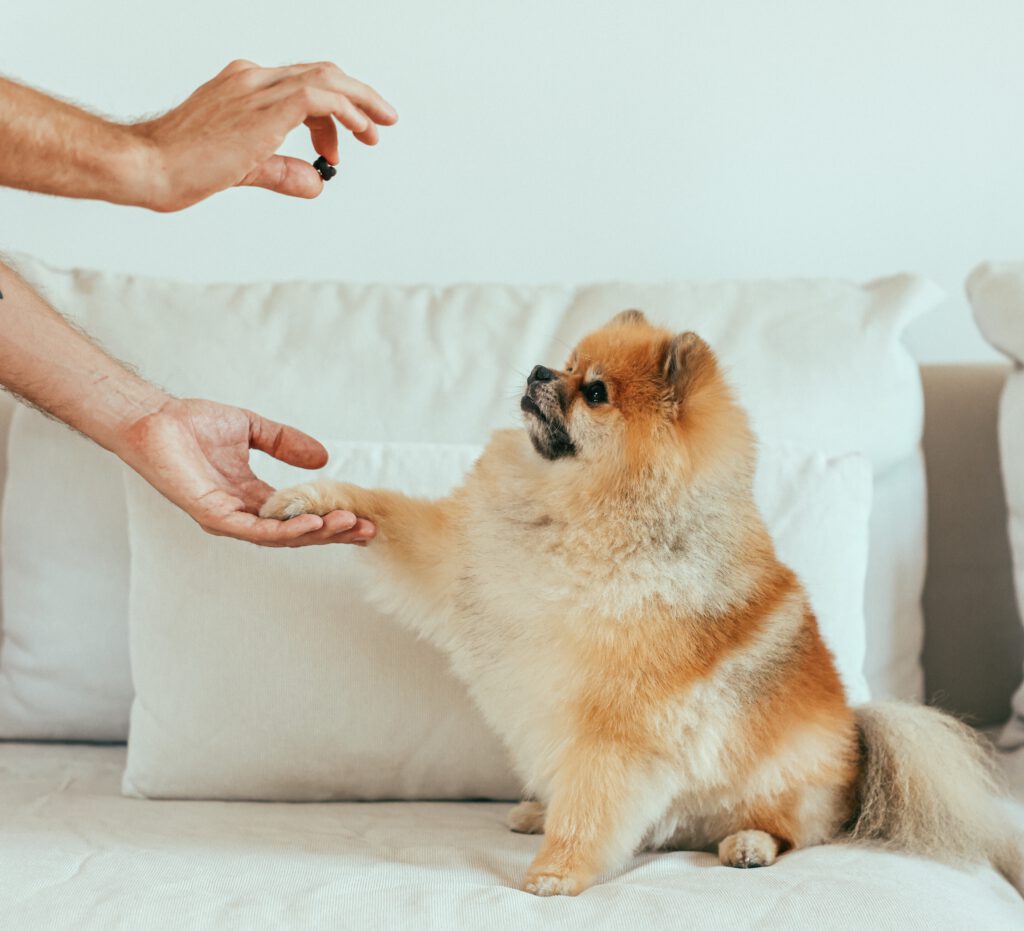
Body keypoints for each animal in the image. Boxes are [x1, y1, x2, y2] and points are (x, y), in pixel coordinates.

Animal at [262, 313, 1015, 893]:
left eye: (594, 392)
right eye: (567, 363)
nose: (538, 369)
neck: (575, 513)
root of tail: (859, 739)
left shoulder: (618, 723)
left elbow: (593, 804)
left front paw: (559, 871)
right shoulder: (456, 559)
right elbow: (385, 511)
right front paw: (312, 499)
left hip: (785, 783)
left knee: (798, 831)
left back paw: (747, 843)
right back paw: (539, 808)